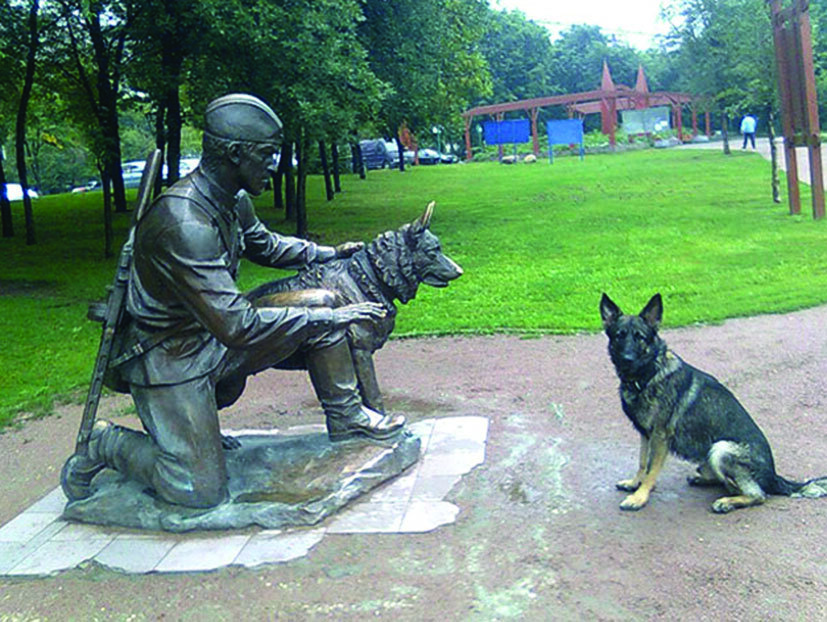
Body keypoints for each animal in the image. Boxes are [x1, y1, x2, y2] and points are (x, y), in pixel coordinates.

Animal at [600, 294, 827, 516]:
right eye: (619, 335)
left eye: (640, 337)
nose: (627, 359)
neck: (649, 374)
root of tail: (774, 476)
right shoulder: (646, 434)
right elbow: (642, 463)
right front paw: (635, 484)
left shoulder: (659, 436)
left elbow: (650, 470)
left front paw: (639, 497)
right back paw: (704, 480)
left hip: (721, 449)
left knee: (758, 495)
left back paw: (727, 502)